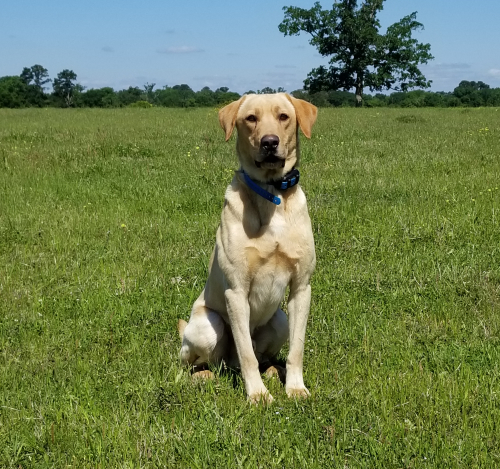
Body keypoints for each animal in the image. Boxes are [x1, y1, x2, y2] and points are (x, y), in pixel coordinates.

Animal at [179, 92, 316, 402]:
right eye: (251, 118)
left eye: (283, 116)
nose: (269, 142)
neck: (272, 193)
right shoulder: (236, 292)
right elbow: (246, 355)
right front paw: (257, 395)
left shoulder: (302, 288)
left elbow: (297, 349)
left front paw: (295, 387)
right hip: (208, 326)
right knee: (200, 362)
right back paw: (202, 376)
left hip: (279, 320)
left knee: (260, 355)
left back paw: (274, 370)